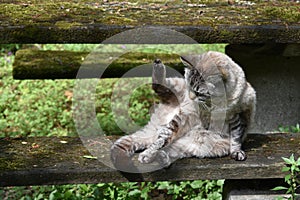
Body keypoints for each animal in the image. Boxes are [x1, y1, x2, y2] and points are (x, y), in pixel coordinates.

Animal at [110, 50, 255, 171]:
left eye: (198, 93)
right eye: (189, 87)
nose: (190, 97)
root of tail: (155, 127)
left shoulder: (238, 115)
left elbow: (236, 137)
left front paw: (236, 152)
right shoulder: (186, 114)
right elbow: (161, 140)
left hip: (186, 147)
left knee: (167, 149)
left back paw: (162, 159)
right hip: (175, 91)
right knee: (159, 90)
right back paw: (158, 65)